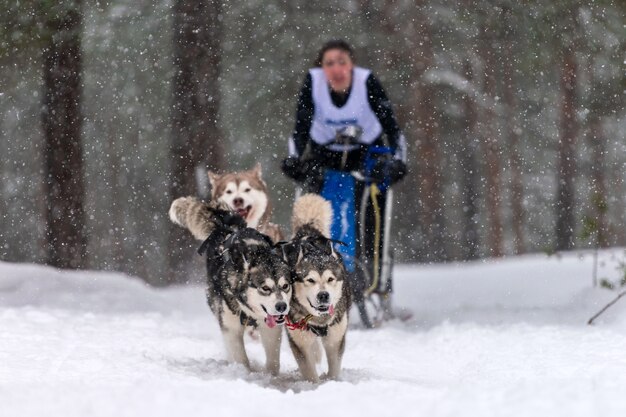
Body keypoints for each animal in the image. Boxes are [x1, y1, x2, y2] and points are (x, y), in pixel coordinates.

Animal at [168, 195, 290, 374]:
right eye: (265, 288)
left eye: (285, 286)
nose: (282, 306)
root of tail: (225, 226)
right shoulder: (230, 327)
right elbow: (240, 358)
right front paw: (244, 373)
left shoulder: (270, 328)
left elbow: (273, 360)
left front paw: (271, 376)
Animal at [282, 193, 352, 382]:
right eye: (310, 280)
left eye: (330, 279)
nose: (323, 295)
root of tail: (308, 234)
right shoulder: (299, 340)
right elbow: (309, 370)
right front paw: (315, 385)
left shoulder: (335, 337)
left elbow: (334, 367)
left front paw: (332, 382)